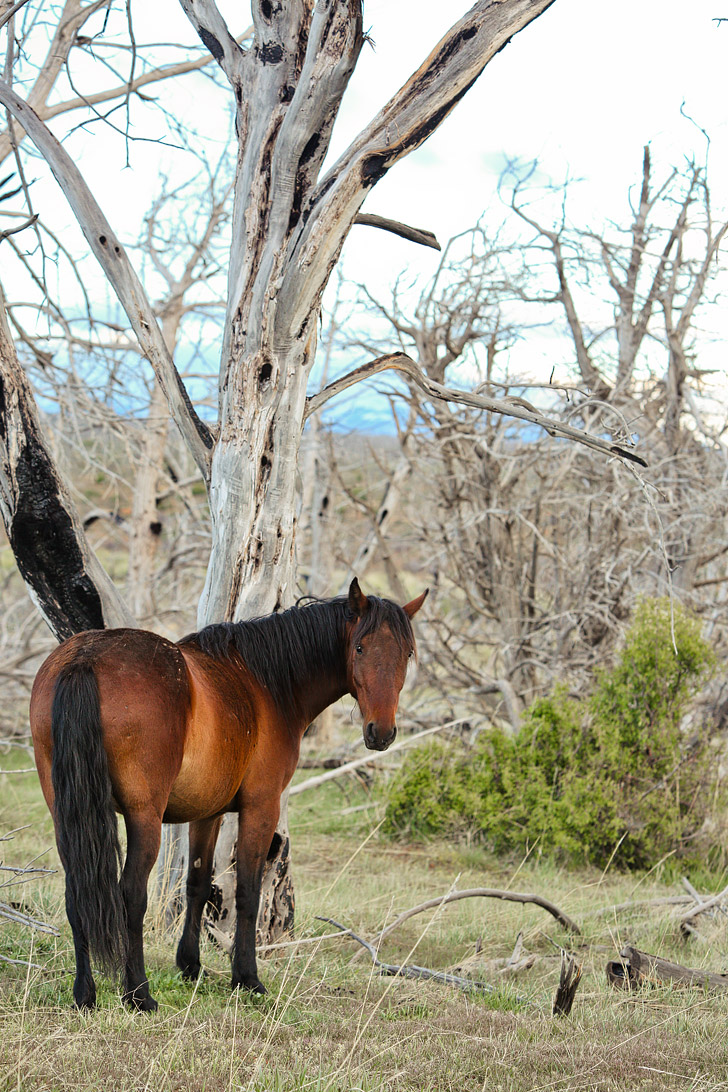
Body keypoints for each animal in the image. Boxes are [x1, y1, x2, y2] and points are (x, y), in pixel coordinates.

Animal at [29, 576, 427, 1009]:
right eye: (359, 648)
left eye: (406, 653)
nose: (381, 733)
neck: (266, 684)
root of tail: (83, 659)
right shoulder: (260, 807)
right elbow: (248, 892)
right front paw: (247, 978)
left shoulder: (208, 812)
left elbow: (198, 884)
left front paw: (190, 965)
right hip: (143, 818)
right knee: (131, 894)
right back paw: (139, 994)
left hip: (65, 815)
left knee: (76, 894)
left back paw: (85, 993)